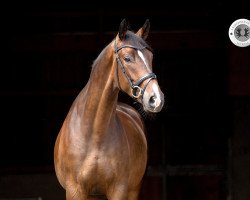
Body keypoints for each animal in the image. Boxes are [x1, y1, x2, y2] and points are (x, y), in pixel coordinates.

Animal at [53, 18, 164, 199]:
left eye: (150, 57)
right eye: (127, 58)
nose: (156, 99)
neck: (93, 134)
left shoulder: (118, 189)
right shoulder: (75, 190)